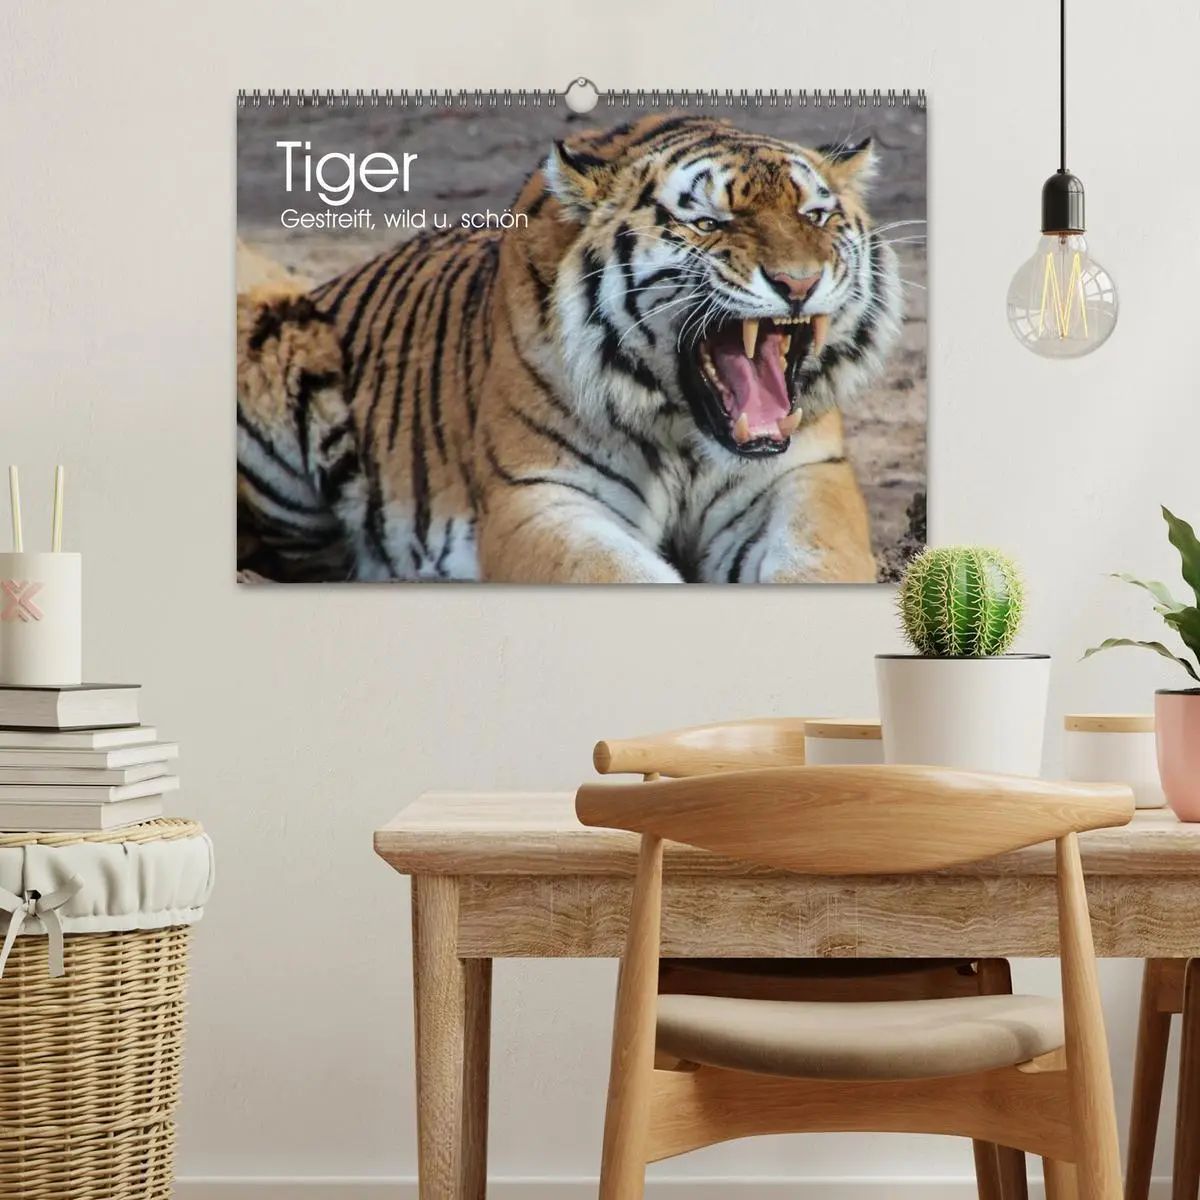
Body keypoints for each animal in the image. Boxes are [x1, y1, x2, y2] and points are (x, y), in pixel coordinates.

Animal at [236, 112, 903, 583]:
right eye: (708, 224)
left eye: (815, 216)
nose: (798, 283)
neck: (685, 433)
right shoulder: (541, 496)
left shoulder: (805, 475)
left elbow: (819, 560)